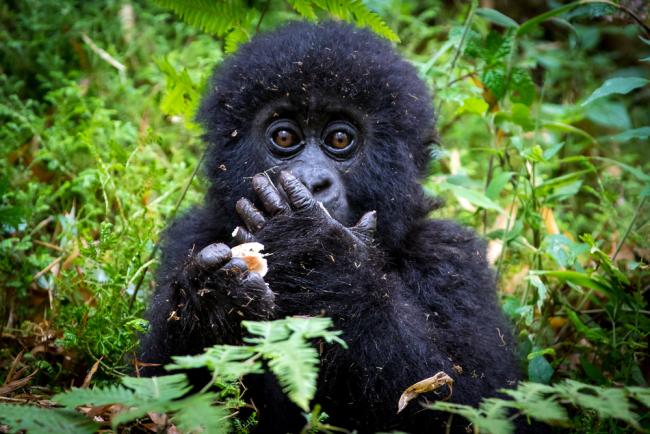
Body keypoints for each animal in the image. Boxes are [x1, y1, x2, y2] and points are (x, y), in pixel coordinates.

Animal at [139, 21, 520, 434]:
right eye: (284, 137)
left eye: (340, 138)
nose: (311, 181)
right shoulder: (190, 236)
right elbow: (153, 390)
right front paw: (212, 300)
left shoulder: (452, 257)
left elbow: (476, 401)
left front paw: (313, 250)